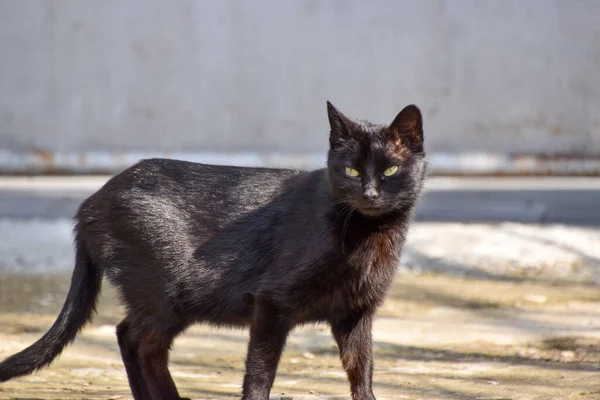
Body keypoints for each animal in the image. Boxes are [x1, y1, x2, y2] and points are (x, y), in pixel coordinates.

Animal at [2, 102, 428, 400]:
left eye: (390, 171)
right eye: (352, 171)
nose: (369, 194)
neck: (369, 234)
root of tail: (91, 202)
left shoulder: (355, 313)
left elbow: (362, 370)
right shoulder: (271, 303)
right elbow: (259, 373)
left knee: (127, 334)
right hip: (167, 297)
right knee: (139, 342)